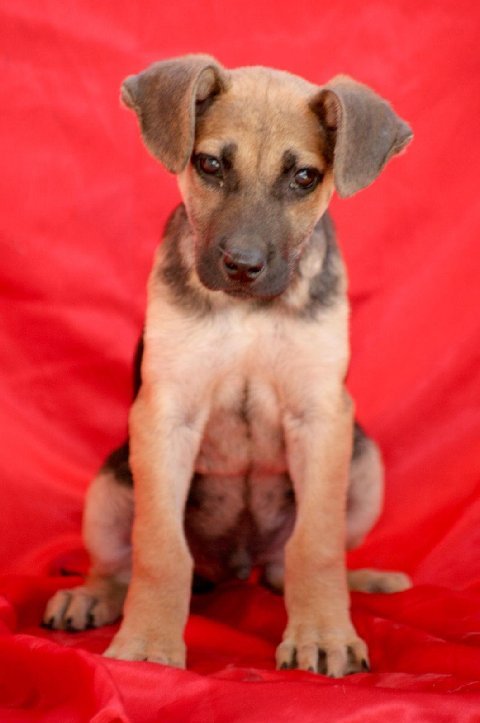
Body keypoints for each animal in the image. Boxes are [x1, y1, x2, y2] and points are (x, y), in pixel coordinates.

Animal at [43, 54, 413, 677]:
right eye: (210, 164)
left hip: (366, 464)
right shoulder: (166, 413)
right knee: (117, 564)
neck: (249, 311)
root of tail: (238, 568)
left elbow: (317, 545)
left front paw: (324, 634)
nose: (242, 265)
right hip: (108, 485)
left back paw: (361, 581)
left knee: (291, 563)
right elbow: (160, 548)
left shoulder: (320, 416)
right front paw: (147, 646)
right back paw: (90, 597)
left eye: (305, 177)